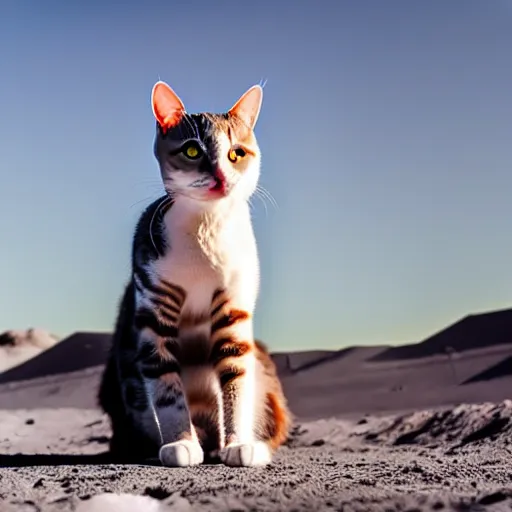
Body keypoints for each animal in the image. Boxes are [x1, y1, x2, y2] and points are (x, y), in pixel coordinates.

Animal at [99, 80, 292, 468]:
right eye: (191, 150)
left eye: (236, 153)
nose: (220, 177)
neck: (207, 227)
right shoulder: (154, 307)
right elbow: (165, 385)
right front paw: (181, 443)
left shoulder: (233, 307)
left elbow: (235, 380)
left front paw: (237, 444)